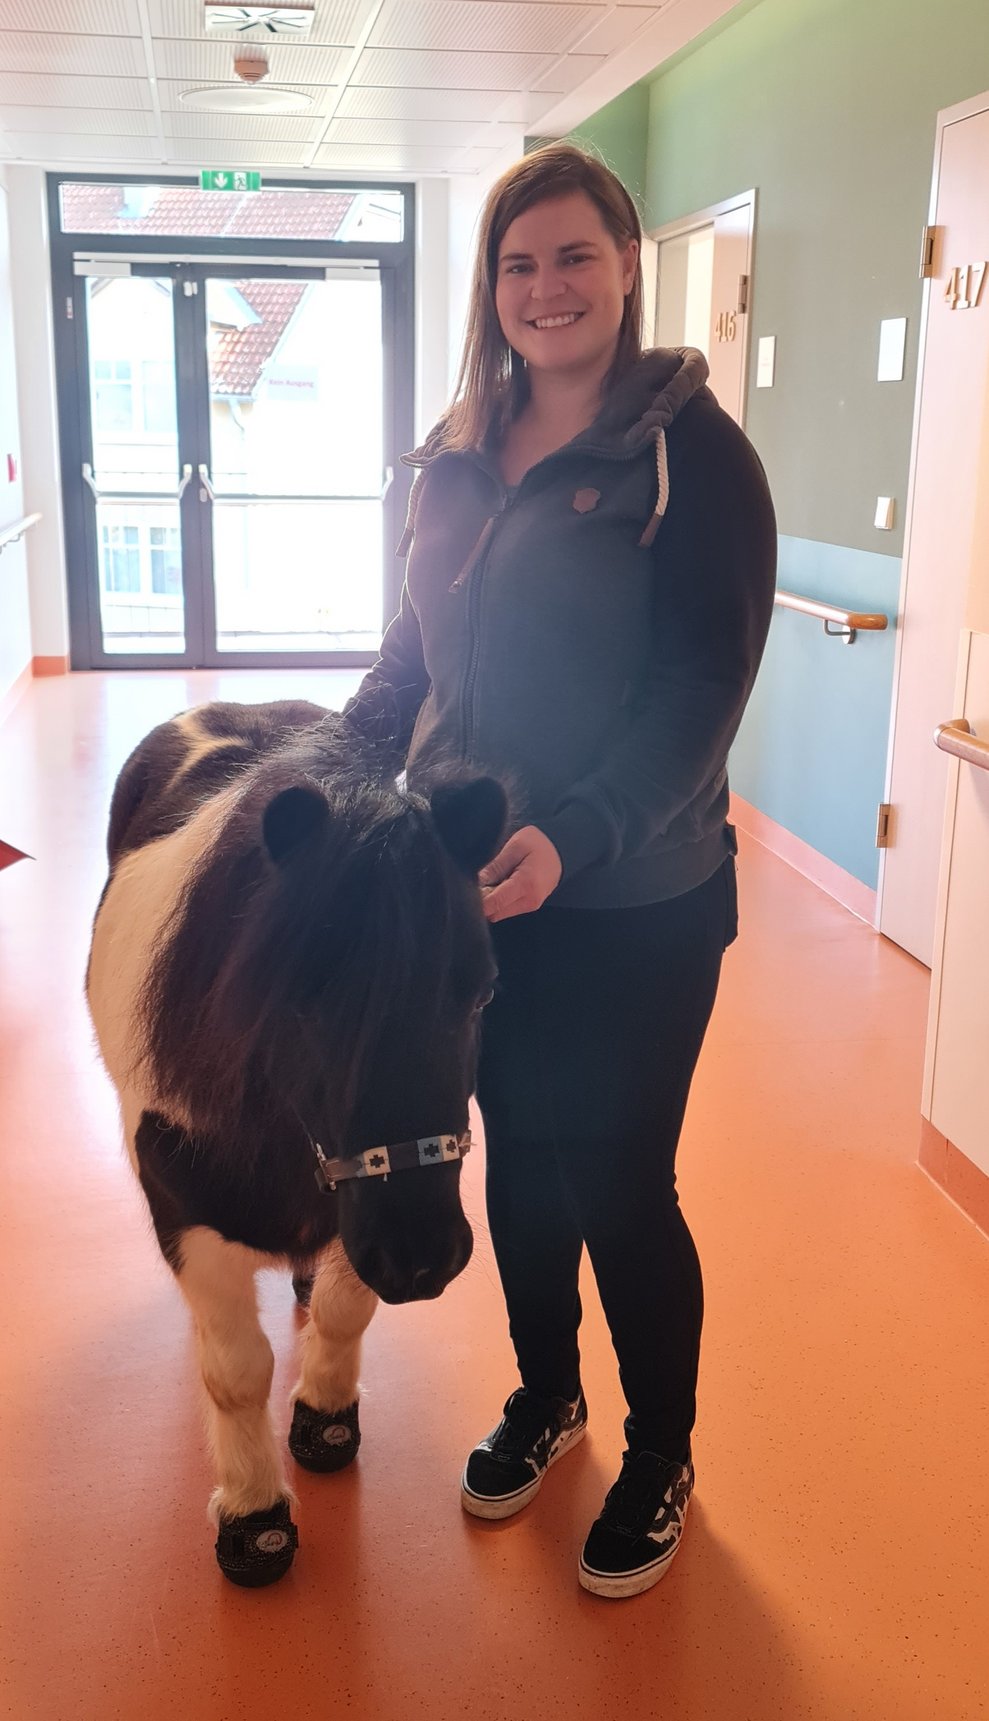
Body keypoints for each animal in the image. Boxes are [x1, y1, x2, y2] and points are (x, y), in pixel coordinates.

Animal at [86, 699, 506, 1587]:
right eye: (301, 993)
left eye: (483, 989)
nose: (421, 1256)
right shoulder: (187, 1216)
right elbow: (237, 1371)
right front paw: (254, 1513)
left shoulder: (358, 1213)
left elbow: (347, 1312)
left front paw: (324, 1414)